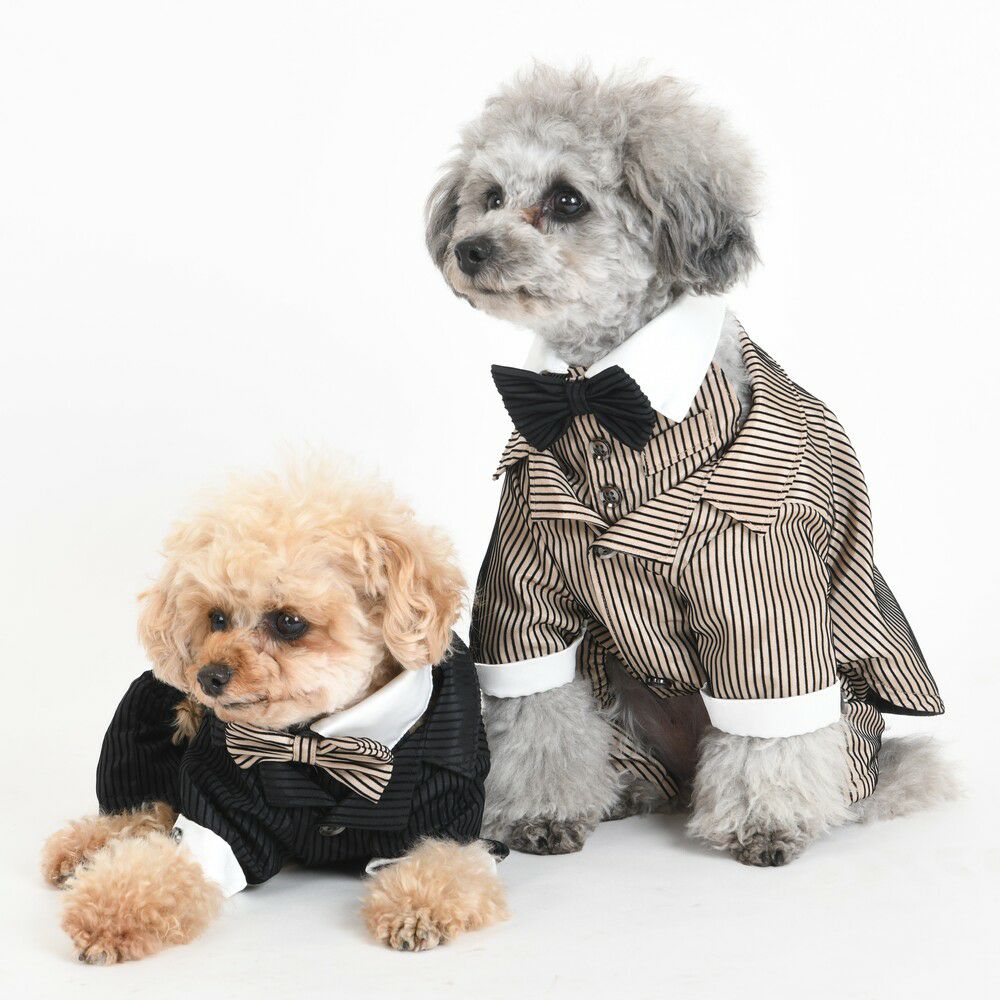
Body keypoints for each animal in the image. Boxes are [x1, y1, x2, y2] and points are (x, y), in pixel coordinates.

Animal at [41, 463, 507, 961]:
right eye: (217, 618)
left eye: (289, 622)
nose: (207, 676)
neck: (316, 742)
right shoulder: (217, 812)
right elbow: (164, 863)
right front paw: (106, 912)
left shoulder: (448, 819)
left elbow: (443, 863)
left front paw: (416, 912)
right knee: (149, 811)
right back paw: (82, 850)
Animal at [425, 65, 957, 865]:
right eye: (489, 195)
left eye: (567, 200)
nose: (472, 249)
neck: (596, 393)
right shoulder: (526, 588)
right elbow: (539, 713)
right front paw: (538, 812)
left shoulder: (761, 588)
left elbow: (770, 726)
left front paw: (765, 824)